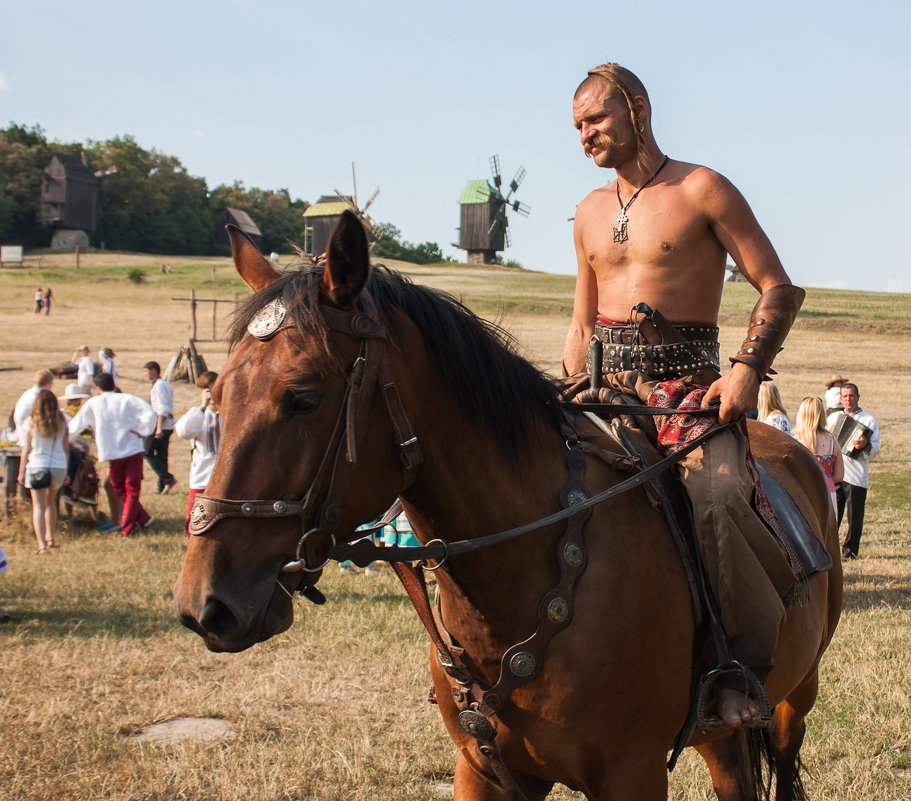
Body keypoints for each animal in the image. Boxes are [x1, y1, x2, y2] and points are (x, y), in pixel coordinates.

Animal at [175, 209, 844, 796]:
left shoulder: (632, 774)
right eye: (219, 392)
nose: (206, 604)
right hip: (722, 737)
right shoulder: (486, 771)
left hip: (794, 697)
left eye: (303, 398)